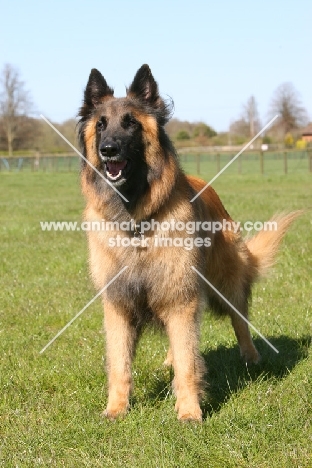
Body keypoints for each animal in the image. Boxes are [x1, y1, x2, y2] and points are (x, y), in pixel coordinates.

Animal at [77, 65, 298, 420]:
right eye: (101, 124)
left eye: (130, 123)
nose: (108, 150)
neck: (137, 218)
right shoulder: (119, 303)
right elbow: (120, 363)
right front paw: (116, 409)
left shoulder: (181, 297)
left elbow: (187, 361)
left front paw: (190, 411)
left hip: (225, 284)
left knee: (240, 321)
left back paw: (251, 358)